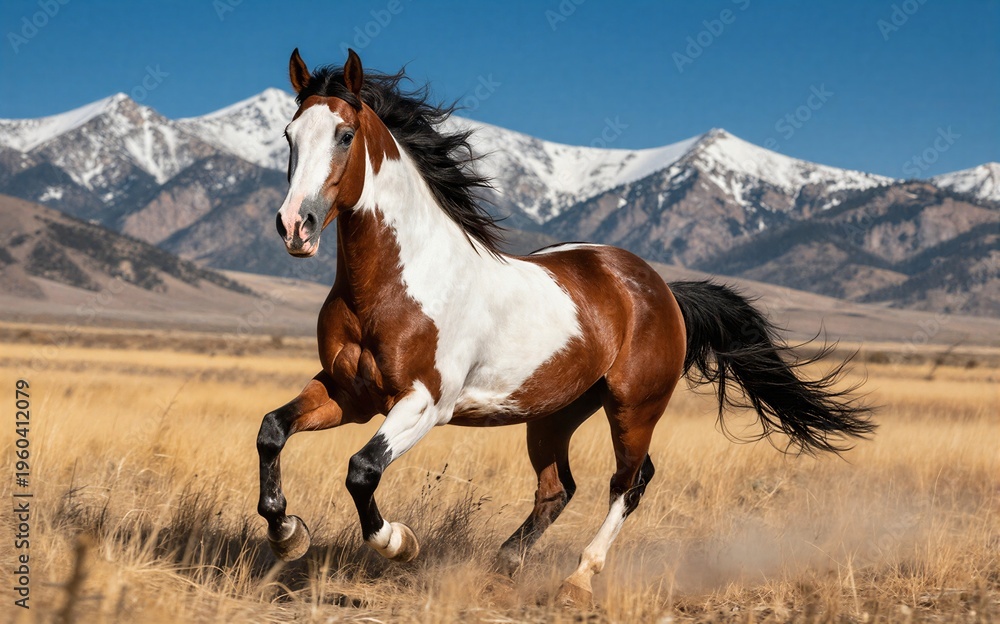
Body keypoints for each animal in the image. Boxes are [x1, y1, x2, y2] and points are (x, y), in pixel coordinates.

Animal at [256, 48, 874, 604]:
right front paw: (288, 534)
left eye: (343, 135)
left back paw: (577, 579)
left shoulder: (425, 402)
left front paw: (398, 542)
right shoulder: (350, 394)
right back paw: (503, 567)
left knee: (630, 482)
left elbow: (362, 469)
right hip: (556, 412)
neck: (392, 286)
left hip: (634, 407)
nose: (295, 226)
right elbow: (272, 431)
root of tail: (658, 287)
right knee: (559, 489)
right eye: (289, 135)